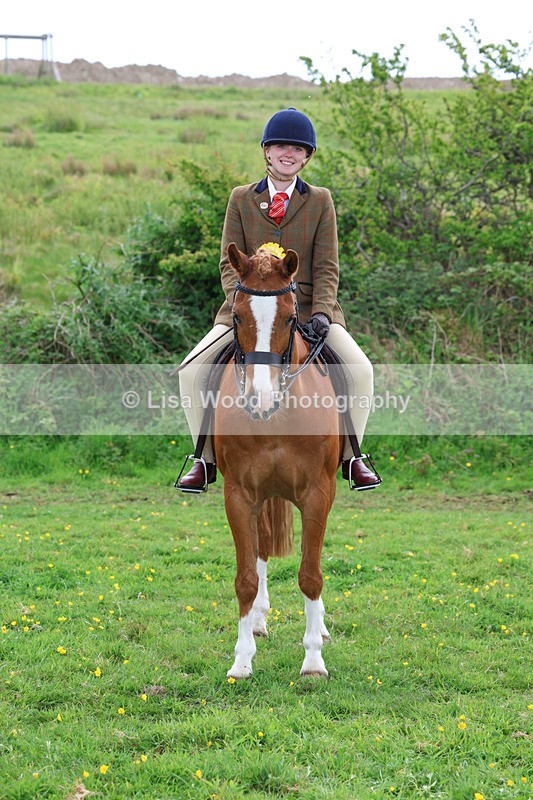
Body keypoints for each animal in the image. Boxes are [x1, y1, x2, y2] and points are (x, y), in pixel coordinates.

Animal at [213, 243, 343, 679]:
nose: (260, 399)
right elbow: (245, 578)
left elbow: (311, 575)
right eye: (237, 316)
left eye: (290, 317)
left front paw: (314, 662)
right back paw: (257, 621)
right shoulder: (238, 497)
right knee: (262, 549)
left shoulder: (318, 495)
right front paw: (241, 660)